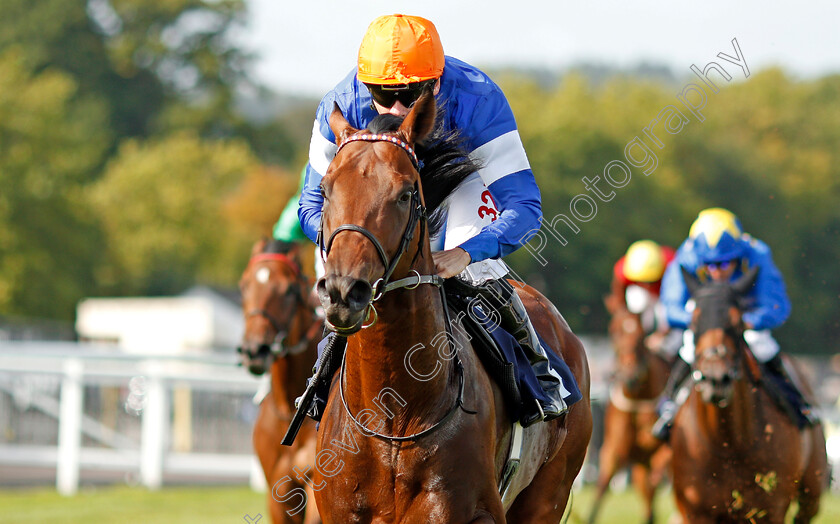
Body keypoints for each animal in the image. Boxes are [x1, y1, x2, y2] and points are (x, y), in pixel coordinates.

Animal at [588, 294, 672, 524]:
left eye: (642, 335)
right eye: (614, 331)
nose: (630, 376)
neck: (639, 398)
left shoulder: (663, 453)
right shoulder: (613, 451)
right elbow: (600, 492)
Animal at [668, 270, 828, 524]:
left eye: (737, 322)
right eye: (694, 321)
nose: (716, 377)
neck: (728, 444)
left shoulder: (771, 508)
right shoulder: (696, 511)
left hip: (811, 491)